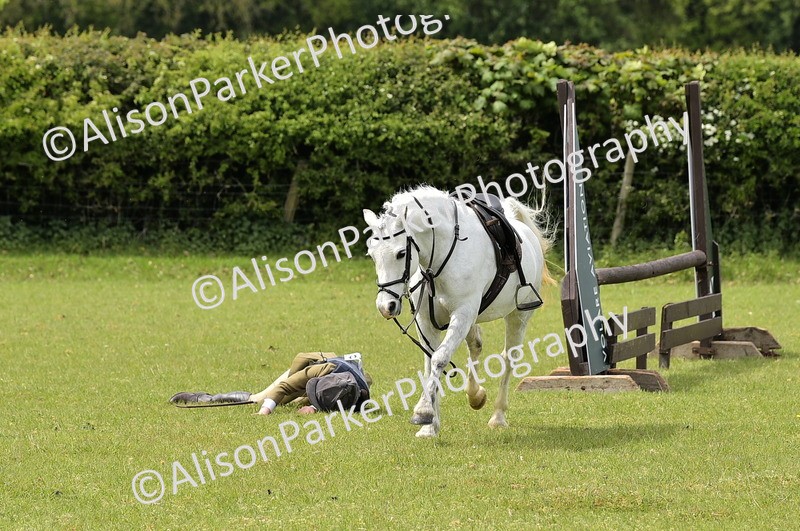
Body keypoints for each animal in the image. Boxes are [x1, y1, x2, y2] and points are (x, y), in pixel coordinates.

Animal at [363, 185, 554, 437]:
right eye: (372, 255)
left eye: (401, 254)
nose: (386, 307)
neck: (441, 255)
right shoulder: (426, 321)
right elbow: (429, 364)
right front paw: (430, 426)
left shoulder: (462, 313)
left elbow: (440, 358)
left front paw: (423, 412)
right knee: (476, 345)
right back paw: (475, 394)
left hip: (517, 316)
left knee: (509, 358)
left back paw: (498, 416)